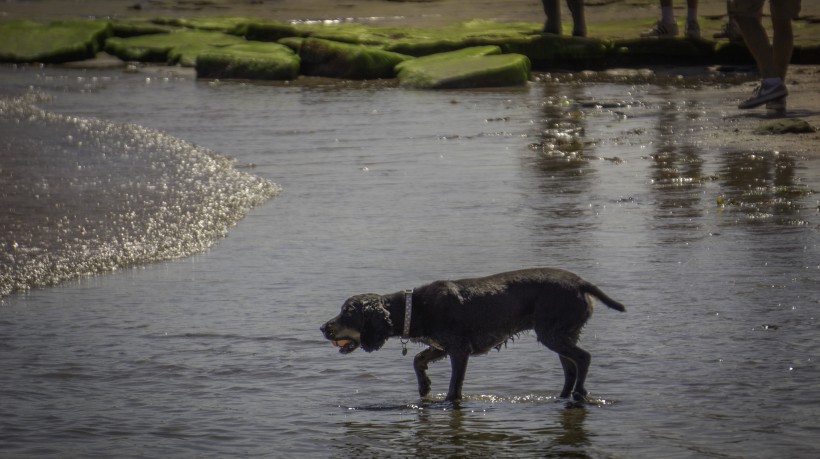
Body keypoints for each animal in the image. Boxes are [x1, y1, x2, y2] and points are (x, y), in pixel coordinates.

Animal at [320, 270, 628, 402]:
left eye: (347, 312)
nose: (323, 328)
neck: (414, 308)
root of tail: (581, 282)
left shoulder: (459, 350)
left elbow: (454, 388)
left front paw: (445, 400)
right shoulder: (441, 346)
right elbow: (418, 359)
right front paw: (425, 386)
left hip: (553, 333)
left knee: (583, 359)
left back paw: (578, 393)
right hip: (561, 334)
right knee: (570, 367)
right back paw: (563, 396)